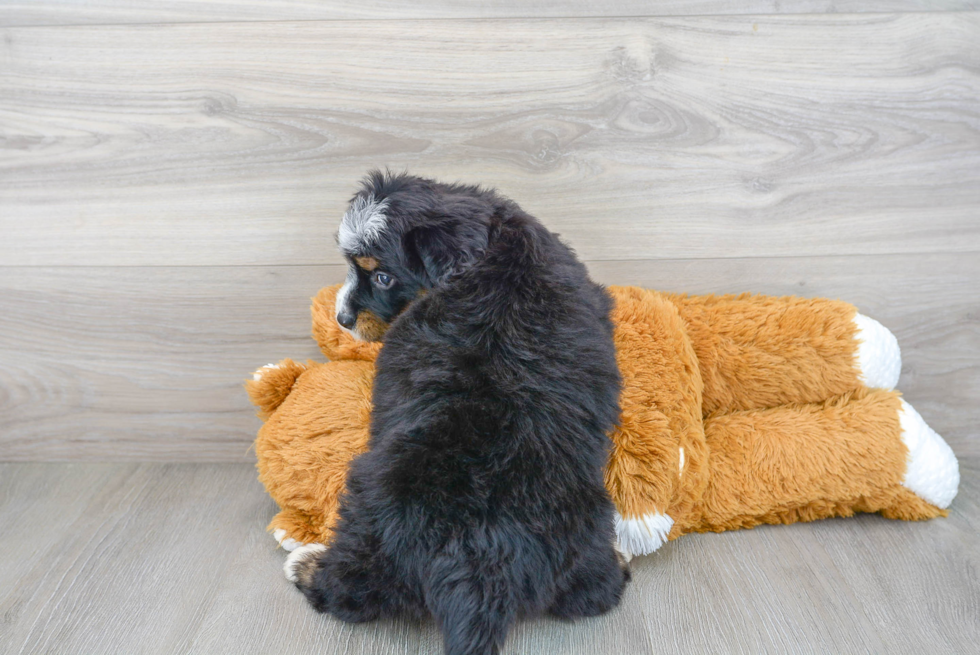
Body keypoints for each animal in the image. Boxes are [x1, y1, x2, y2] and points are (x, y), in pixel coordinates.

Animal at [284, 172, 628, 652]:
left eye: (384, 277)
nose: (343, 319)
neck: (492, 251)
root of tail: (481, 556)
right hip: (589, 525)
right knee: (596, 592)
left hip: (366, 505)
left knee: (351, 590)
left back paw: (307, 565)